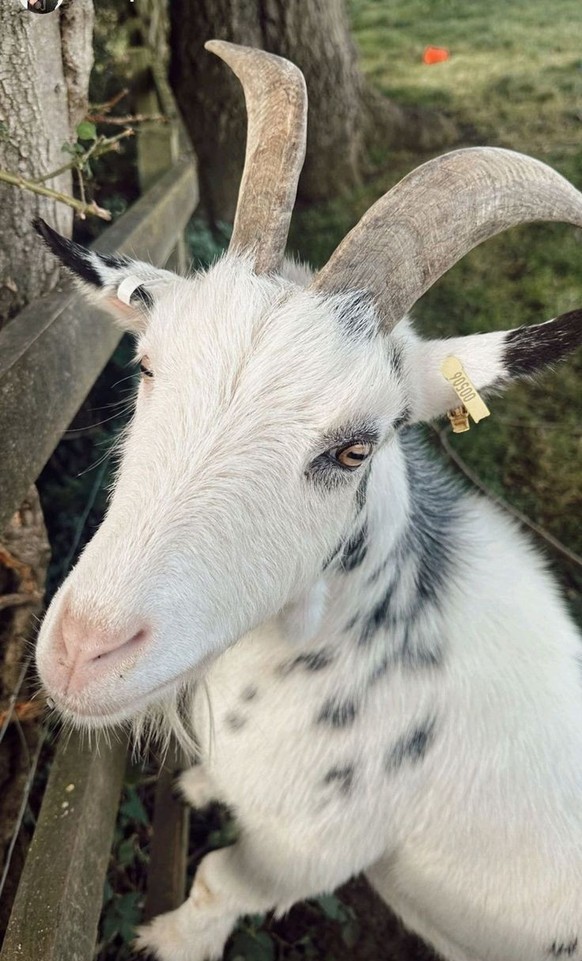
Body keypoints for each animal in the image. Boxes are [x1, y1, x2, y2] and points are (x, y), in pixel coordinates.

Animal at [34, 40, 582, 961]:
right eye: (147, 365)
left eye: (354, 448)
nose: (84, 650)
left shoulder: (312, 849)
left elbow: (221, 879)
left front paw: (168, 939)